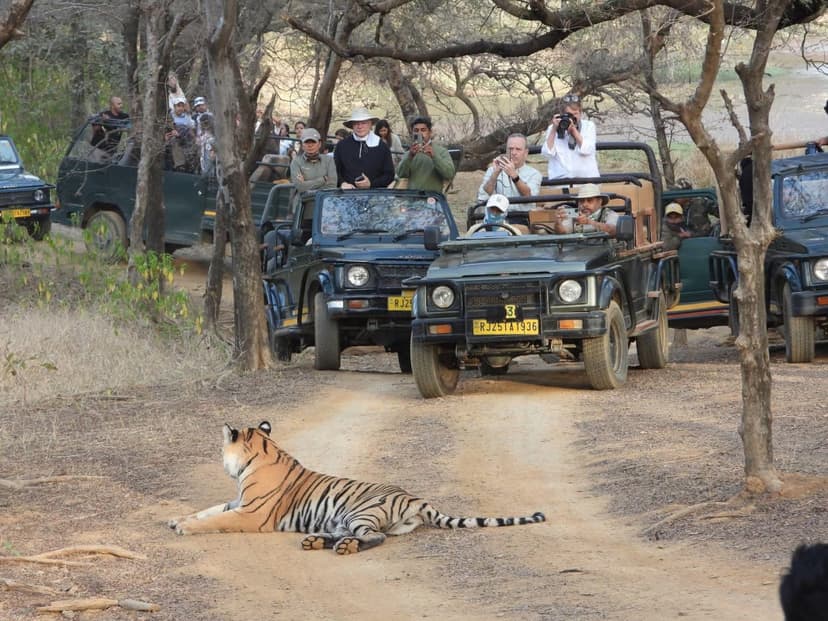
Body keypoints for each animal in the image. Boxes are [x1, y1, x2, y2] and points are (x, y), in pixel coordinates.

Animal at [168, 421, 546, 555]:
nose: (220, 460)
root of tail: (417, 499)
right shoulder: (237, 503)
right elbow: (208, 510)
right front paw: (176, 520)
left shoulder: (250, 514)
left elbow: (214, 520)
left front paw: (185, 528)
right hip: (345, 518)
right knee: (348, 534)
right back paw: (316, 541)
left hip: (360, 511)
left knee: (373, 538)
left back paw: (342, 548)